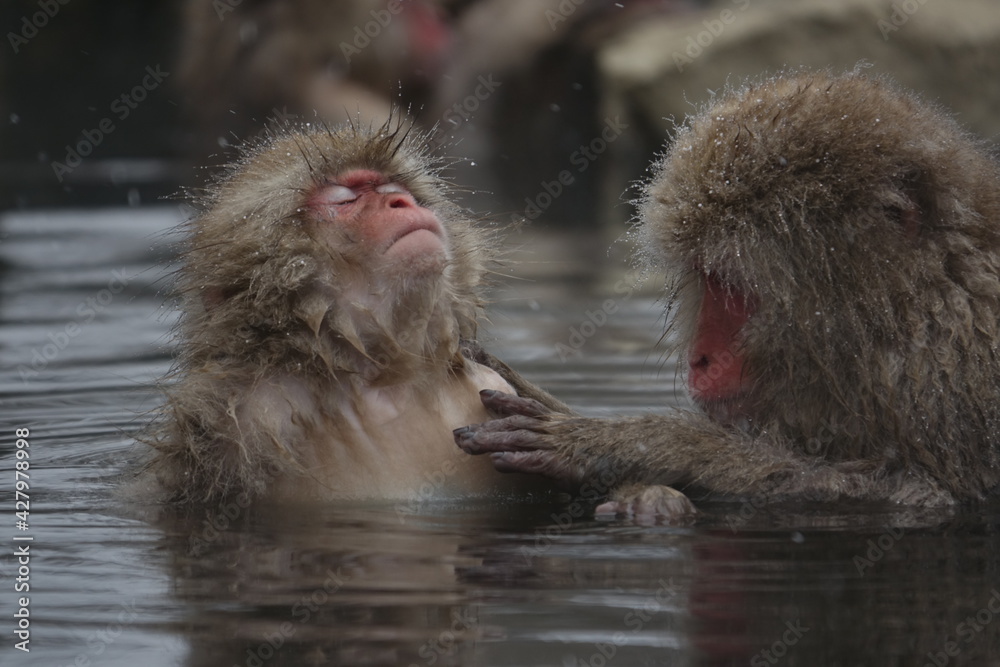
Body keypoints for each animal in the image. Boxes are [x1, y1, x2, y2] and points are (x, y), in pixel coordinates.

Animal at [139, 120, 570, 505]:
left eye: (393, 190)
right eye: (345, 200)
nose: (401, 202)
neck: (388, 379)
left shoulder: (489, 384)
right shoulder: (242, 418)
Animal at [454, 70, 1000, 518]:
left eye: (733, 285)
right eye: (707, 278)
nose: (699, 358)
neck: (918, 316)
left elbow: (917, 494)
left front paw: (632, 445)